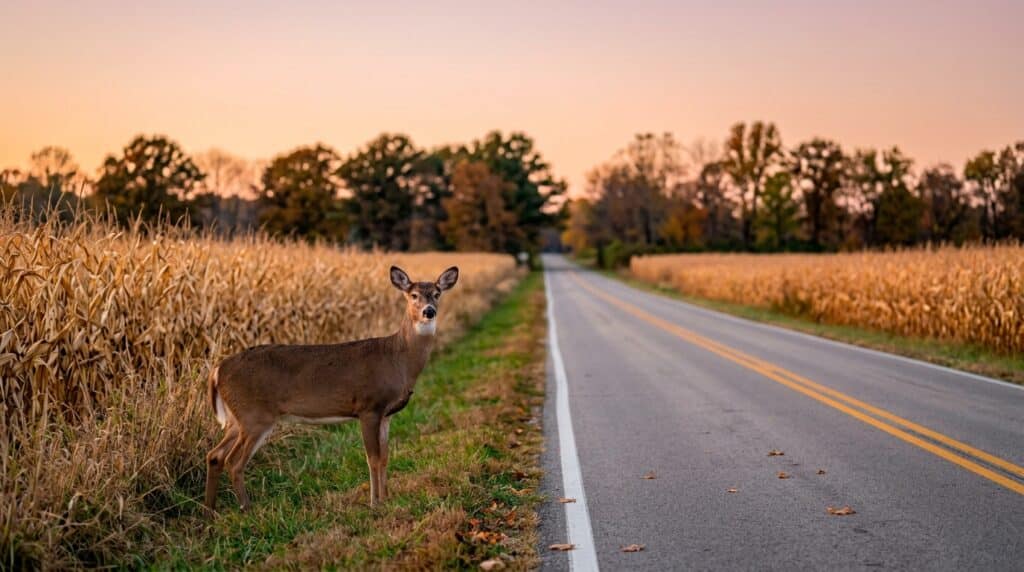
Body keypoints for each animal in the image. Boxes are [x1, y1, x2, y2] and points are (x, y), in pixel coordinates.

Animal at [204, 265, 459, 514]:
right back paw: (246, 509)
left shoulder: (386, 414)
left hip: (238, 418)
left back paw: (210, 511)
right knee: (234, 462)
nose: (429, 311)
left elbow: (385, 457)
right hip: (255, 416)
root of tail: (217, 369)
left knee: (215, 455)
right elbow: (373, 458)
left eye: (437, 293)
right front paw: (375, 503)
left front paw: (387, 498)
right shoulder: (368, 407)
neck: (398, 359)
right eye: (413, 295)